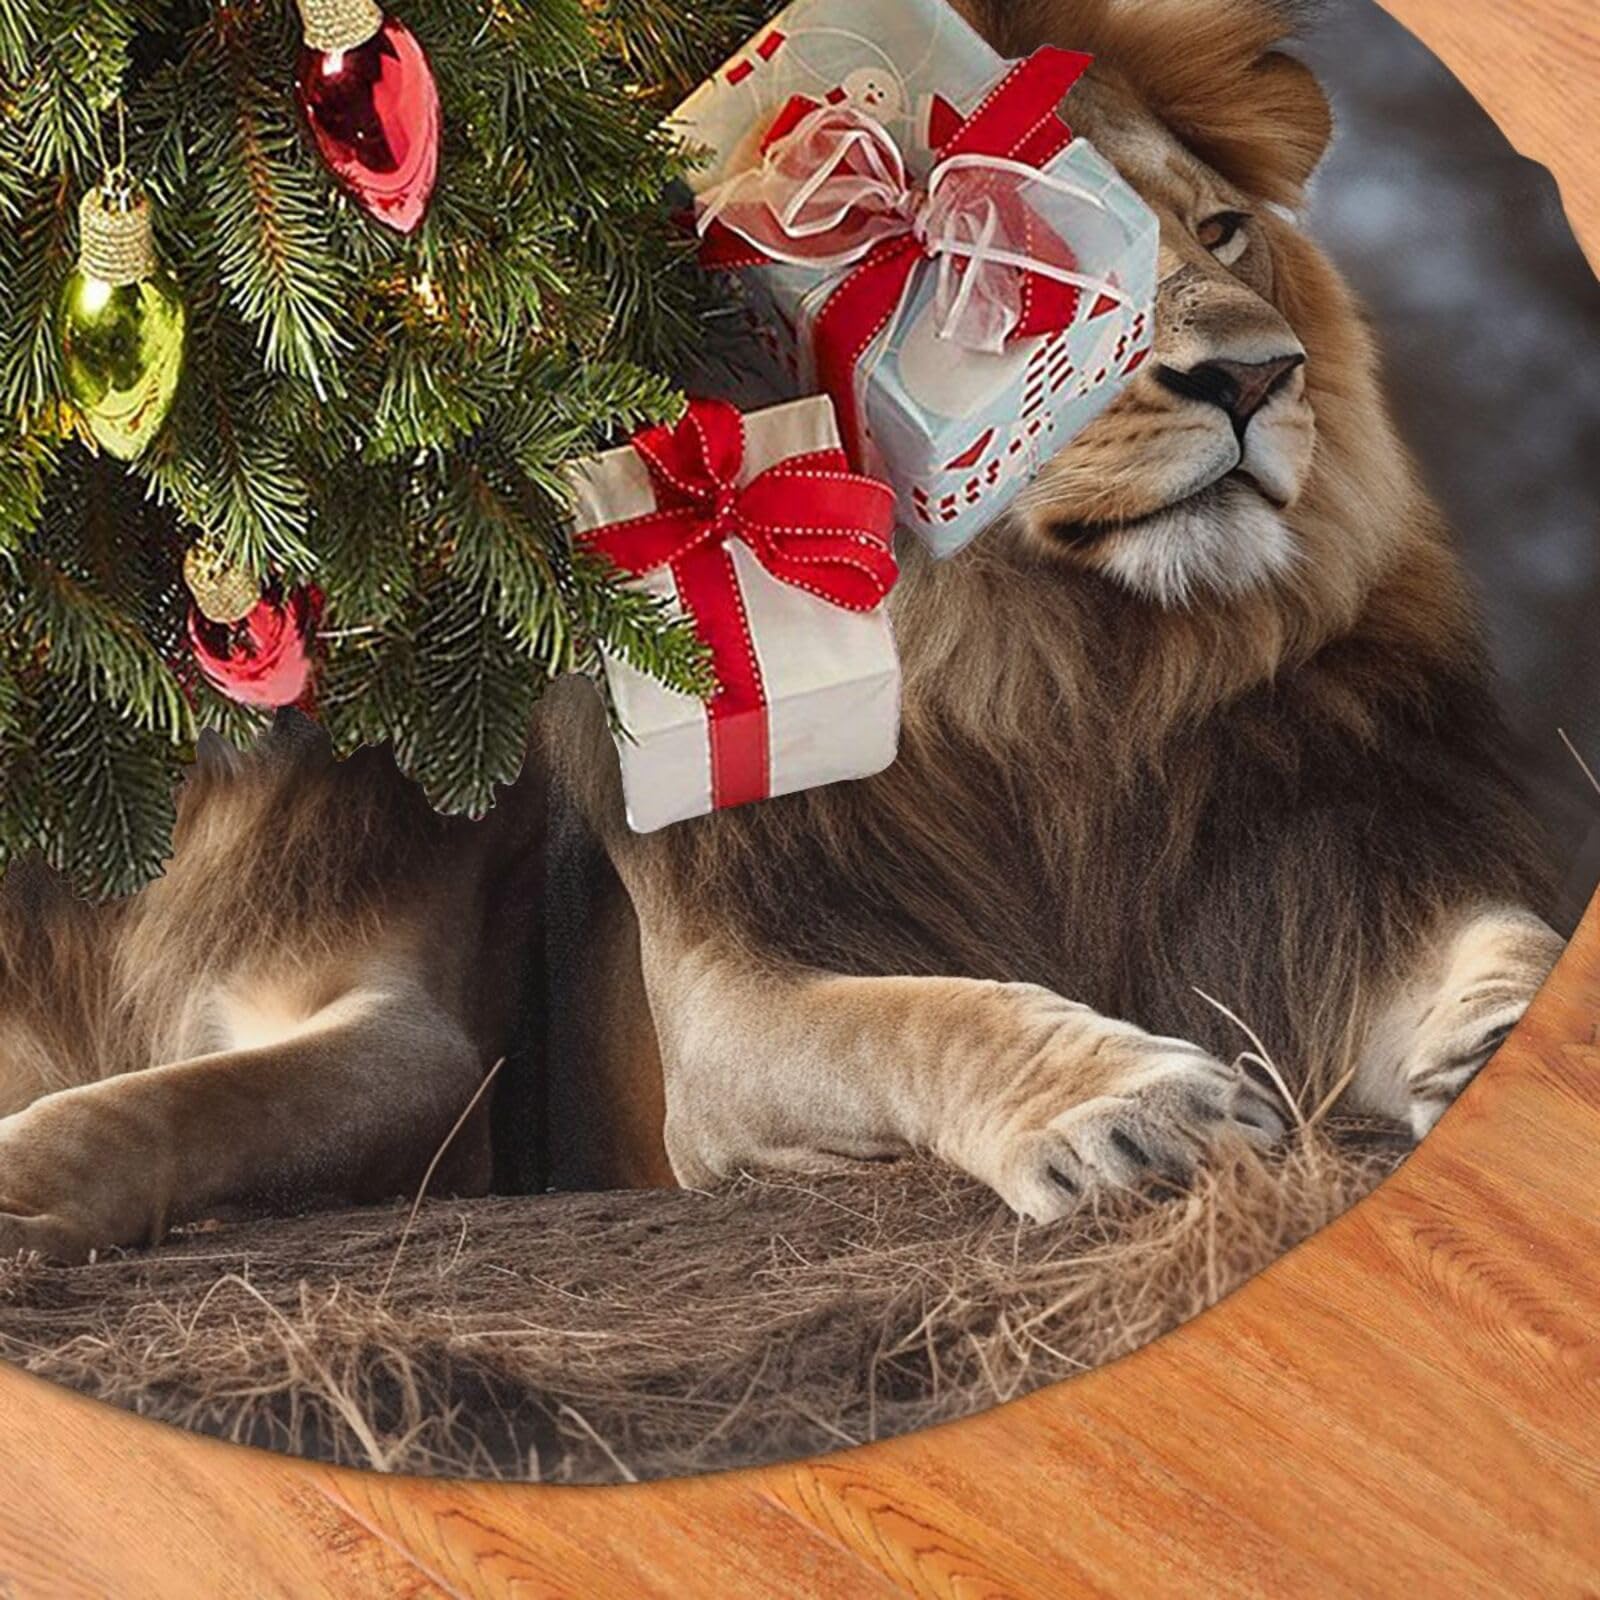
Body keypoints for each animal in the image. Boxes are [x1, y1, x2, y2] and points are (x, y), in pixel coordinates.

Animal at [0, 0, 1566, 1260]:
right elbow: (929, 1010)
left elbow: (1490, 933)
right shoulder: (715, 1017)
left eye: (1225, 229)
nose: (1255, 376)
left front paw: (1515, 1024)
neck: (1066, 685)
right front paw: (1130, 1101)